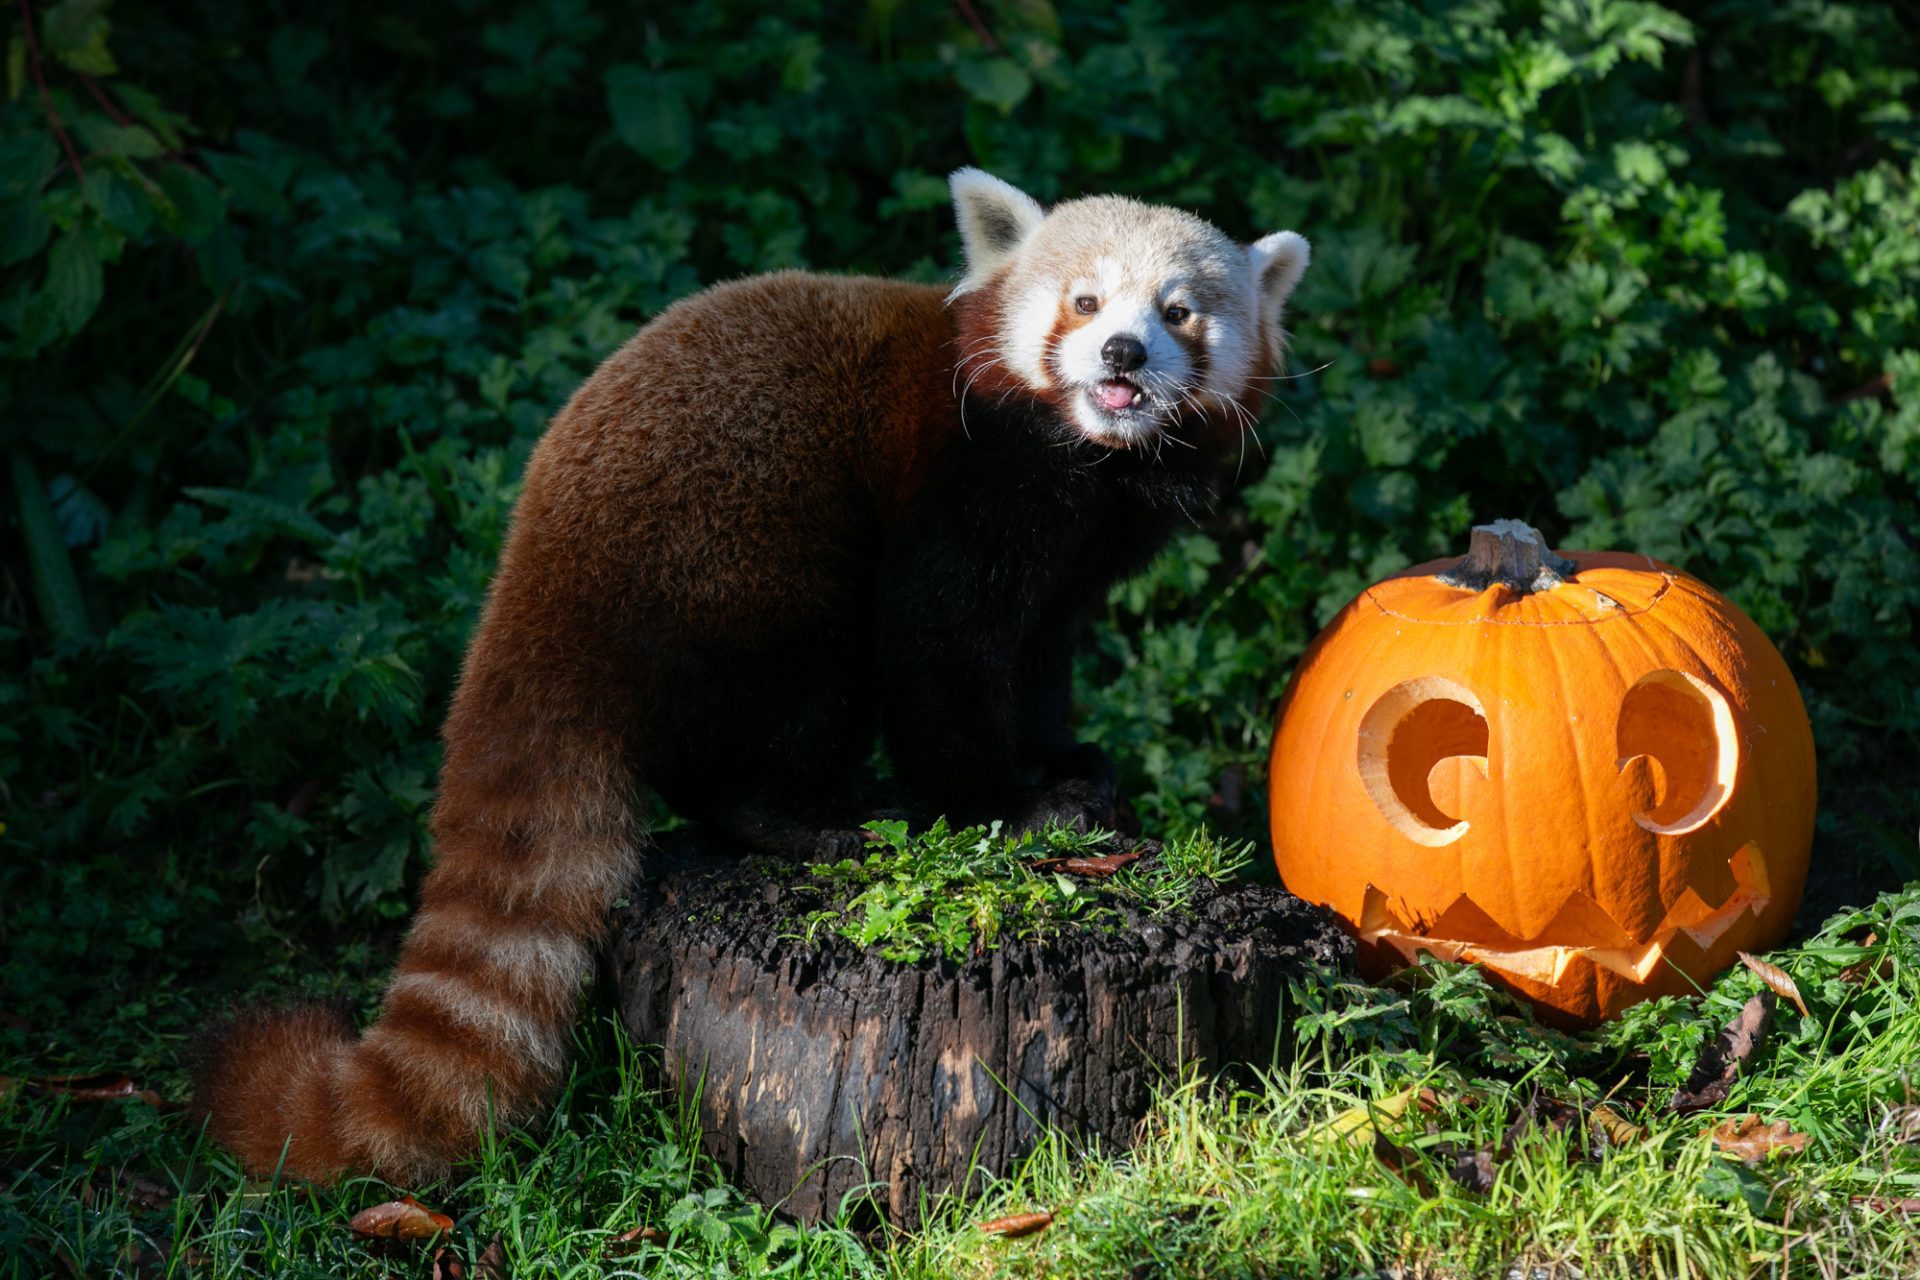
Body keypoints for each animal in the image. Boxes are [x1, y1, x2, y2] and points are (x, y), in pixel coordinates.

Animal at [191, 167, 1305, 1182]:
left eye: (1177, 311)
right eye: (1082, 301)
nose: (1122, 351)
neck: (1095, 460)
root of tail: (540, 577)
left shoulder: (1075, 559)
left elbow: (1035, 656)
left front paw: (1069, 767)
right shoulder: (969, 479)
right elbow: (942, 652)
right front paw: (1009, 804)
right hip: (743, 564)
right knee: (786, 706)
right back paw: (808, 818)